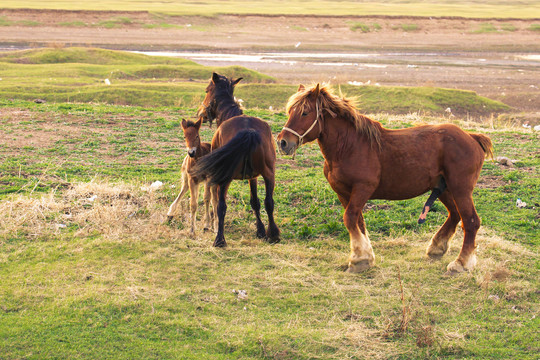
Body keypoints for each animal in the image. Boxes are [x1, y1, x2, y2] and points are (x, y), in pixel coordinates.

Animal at [190, 73, 280, 248]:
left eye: (207, 90)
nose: (200, 113)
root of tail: (248, 131)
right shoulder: (253, 177)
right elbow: (255, 202)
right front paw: (260, 231)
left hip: (225, 178)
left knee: (221, 205)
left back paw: (219, 239)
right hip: (269, 174)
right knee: (269, 202)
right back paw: (273, 234)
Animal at [278, 84, 494, 274]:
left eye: (305, 113)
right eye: (290, 112)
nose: (282, 142)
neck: (349, 147)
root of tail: (472, 137)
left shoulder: (362, 189)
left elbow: (350, 218)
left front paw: (358, 260)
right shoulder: (344, 193)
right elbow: (358, 222)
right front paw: (365, 257)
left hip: (460, 189)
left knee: (471, 221)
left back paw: (460, 264)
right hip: (445, 189)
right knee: (455, 215)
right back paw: (436, 248)